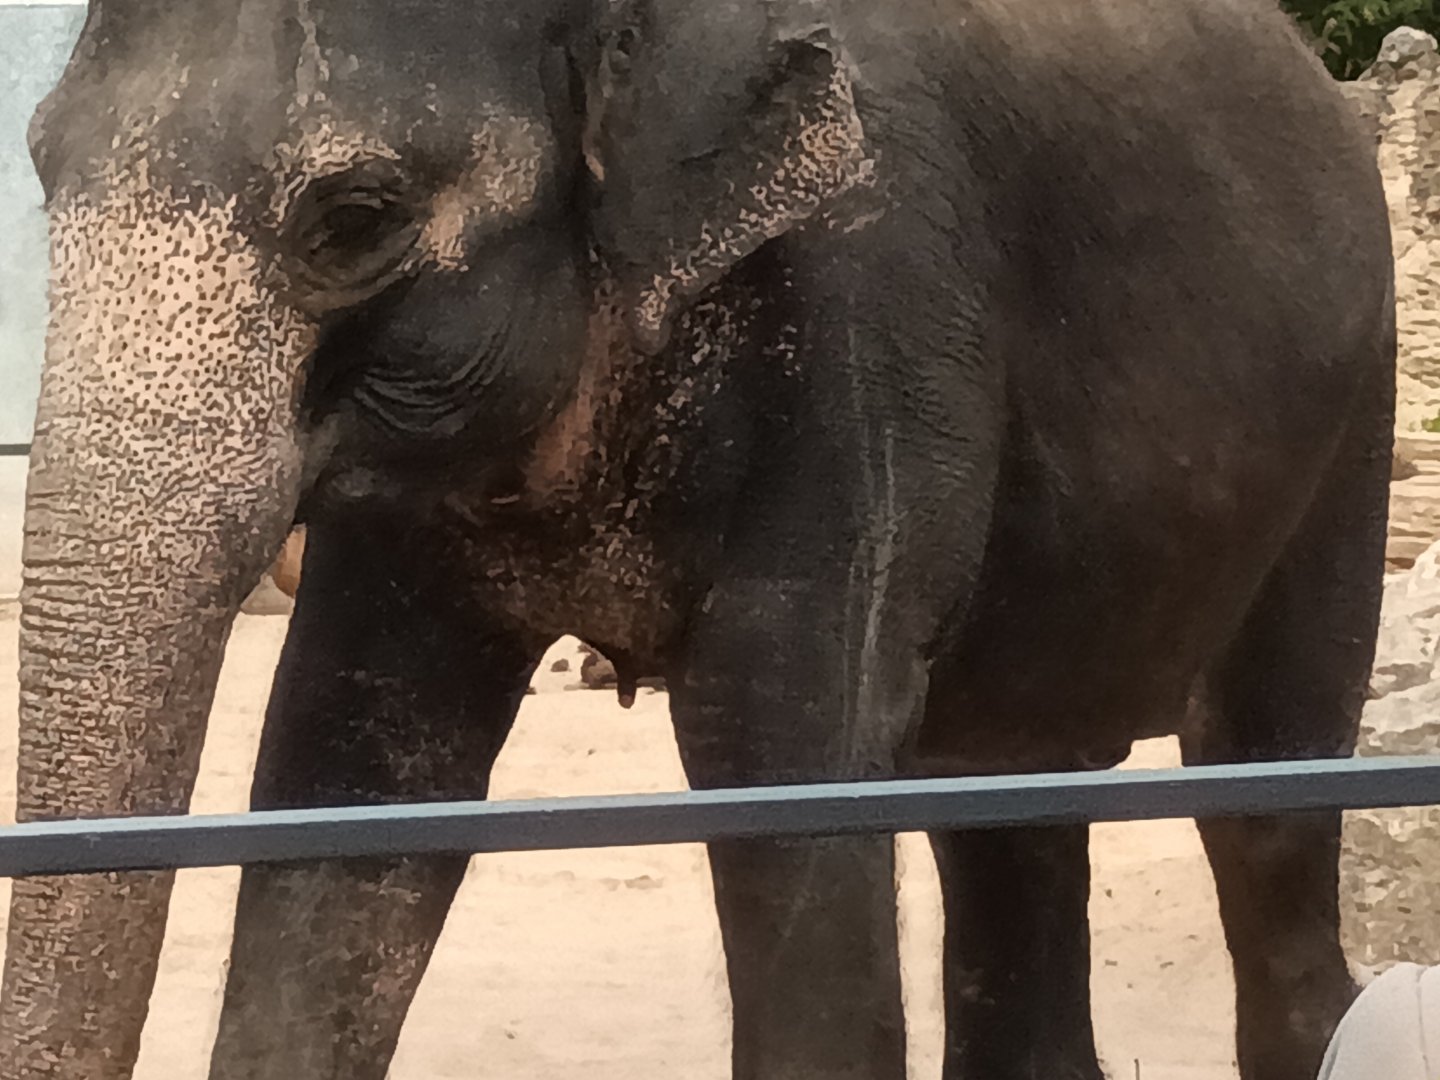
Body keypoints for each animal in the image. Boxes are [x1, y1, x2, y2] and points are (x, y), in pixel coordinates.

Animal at [0, 0, 1394, 1077]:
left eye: (353, 215)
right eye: (42, 167)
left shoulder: (868, 323)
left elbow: (783, 761)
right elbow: (346, 768)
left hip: (1352, 425)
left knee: (1267, 785)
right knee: (1011, 800)